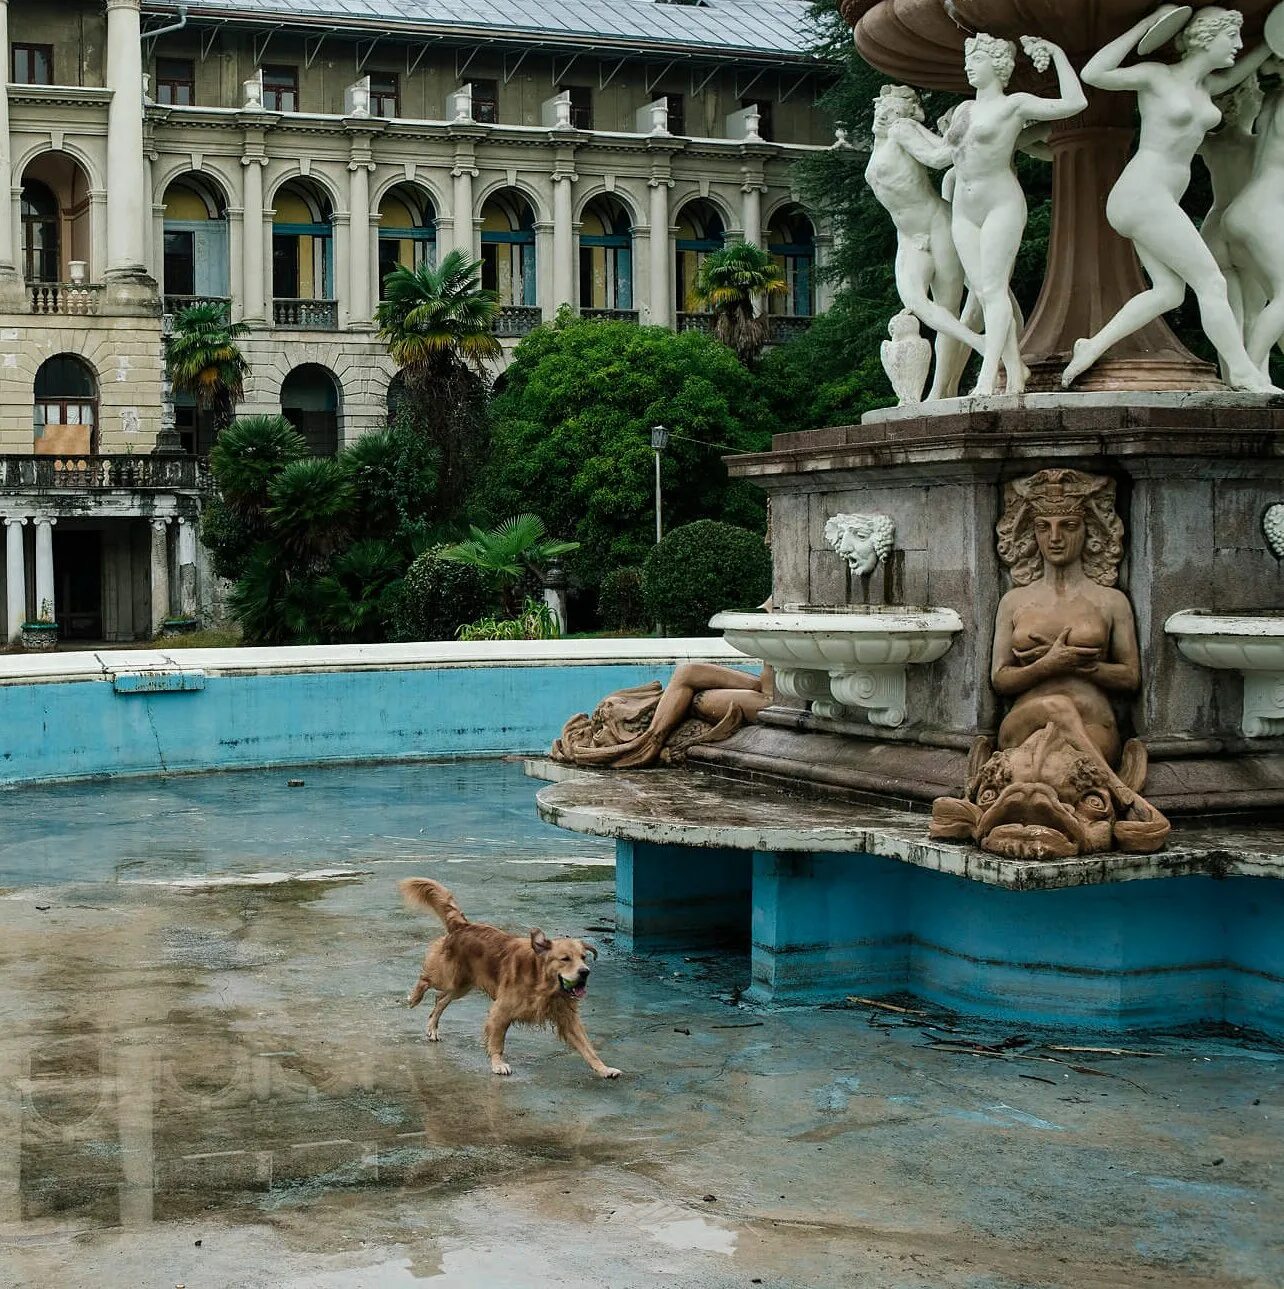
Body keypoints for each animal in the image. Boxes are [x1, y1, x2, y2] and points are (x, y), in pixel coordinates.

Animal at [402, 876, 621, 1077]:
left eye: (583, 957)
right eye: (565, 959)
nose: (585, 972)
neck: (540, 980)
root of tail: (463, 926)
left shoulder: (567, 1017)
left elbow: (587, 1048)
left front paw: (604, 1068)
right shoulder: (501, 1010)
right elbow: (497, 1041)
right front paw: (498, 1064)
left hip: (461, 985)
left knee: (440, 998)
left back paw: (432, 1028)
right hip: (450, 976)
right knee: (426, 980)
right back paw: (414, 998)